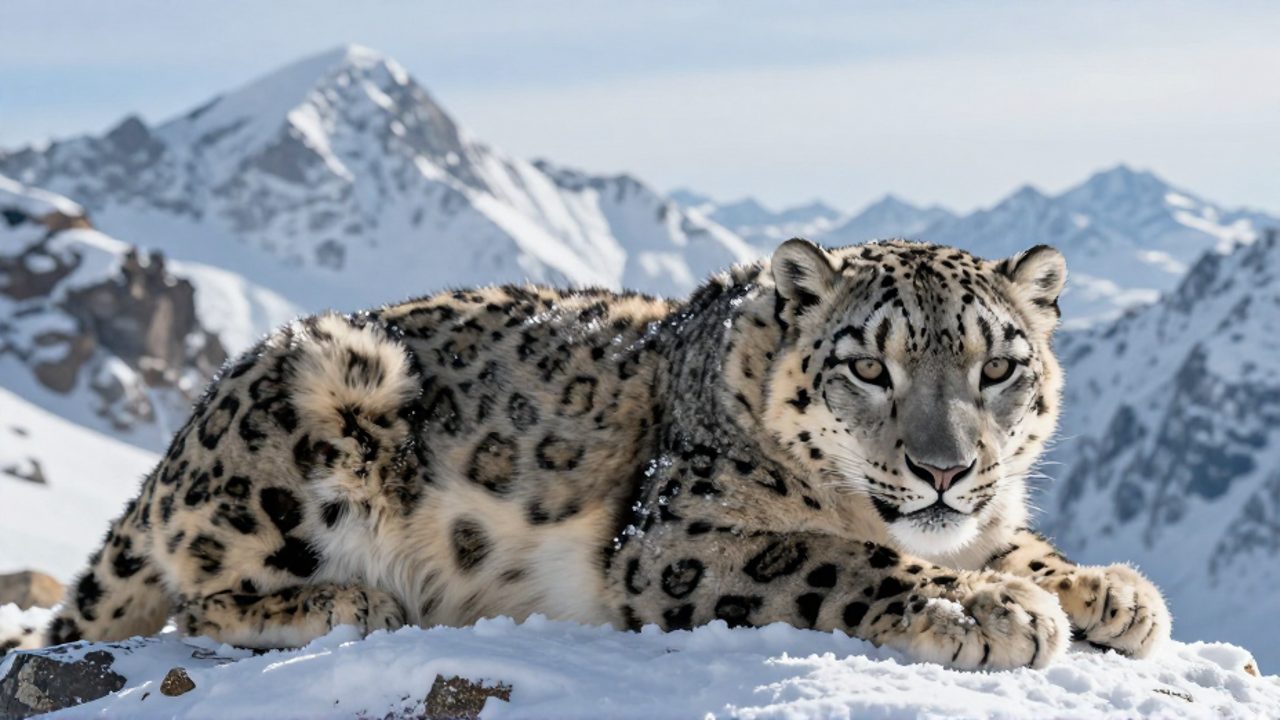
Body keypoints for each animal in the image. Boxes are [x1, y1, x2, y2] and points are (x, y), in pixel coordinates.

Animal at [19, 238, 1170, 670]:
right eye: (868, 367)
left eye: (997, 366)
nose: (942, 468)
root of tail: (181, 437)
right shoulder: (682, 539)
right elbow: (842, 556)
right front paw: (990, 611)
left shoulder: (984, 515)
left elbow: (1013, 539)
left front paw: (1110, 590)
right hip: (309, 412)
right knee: (199, 596)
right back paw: (349, 602)